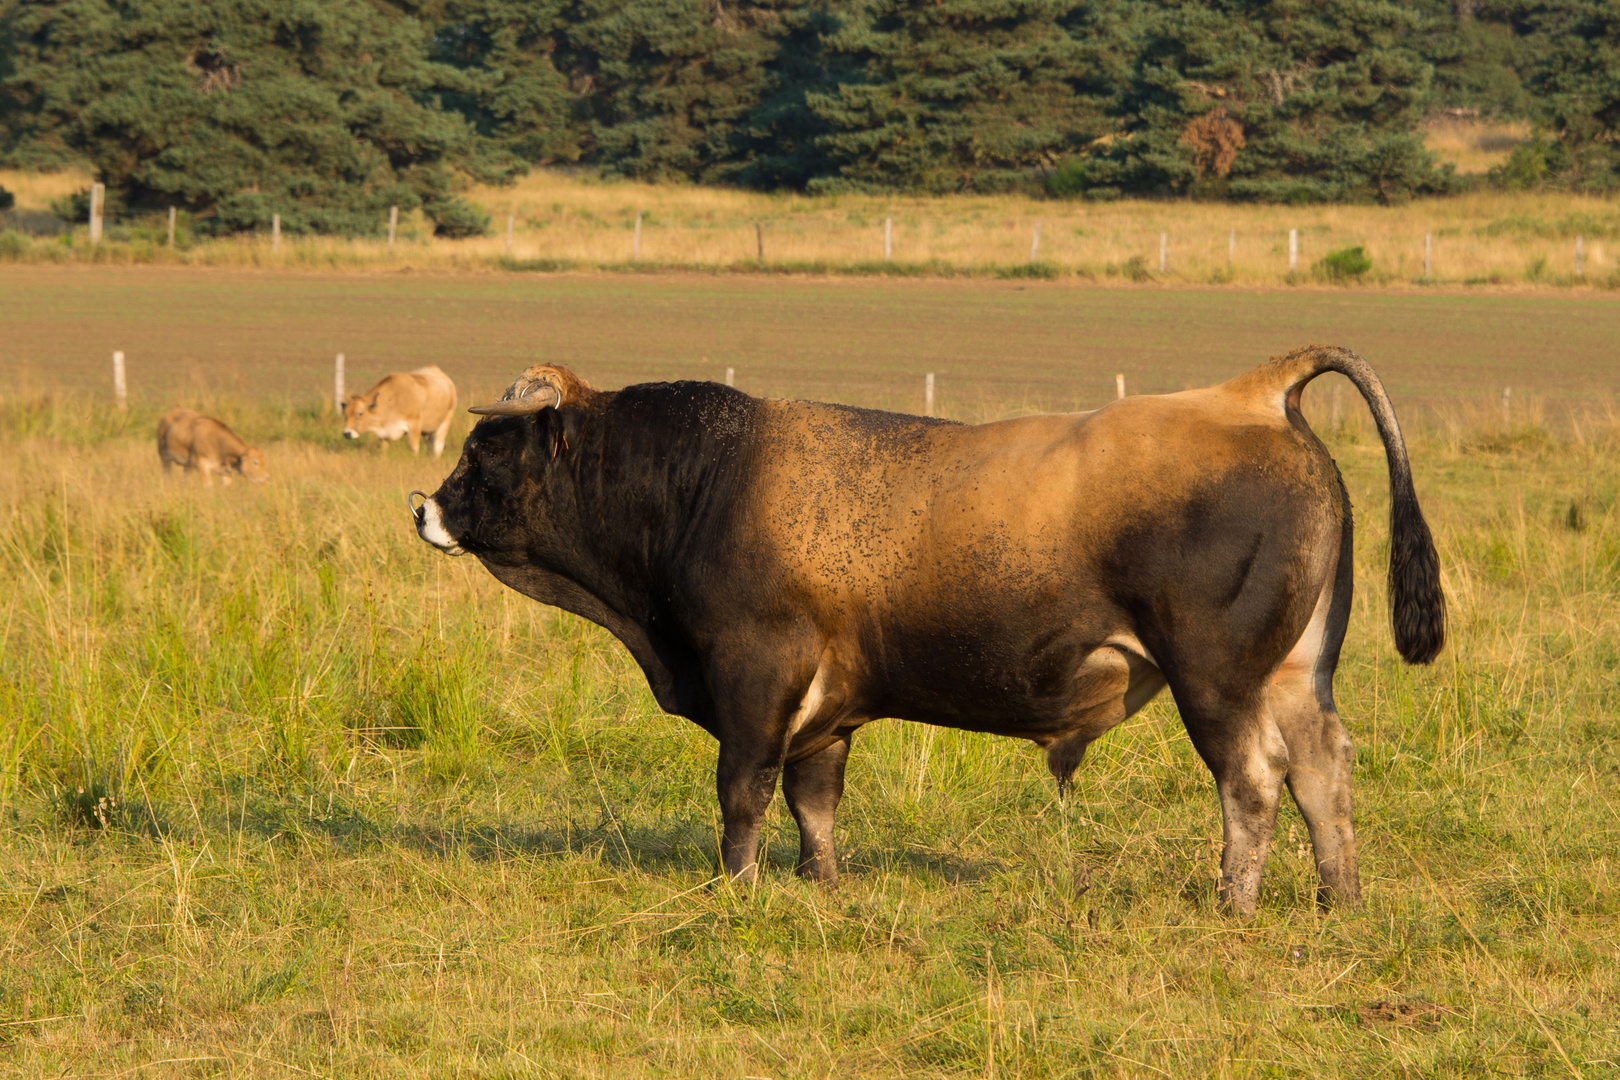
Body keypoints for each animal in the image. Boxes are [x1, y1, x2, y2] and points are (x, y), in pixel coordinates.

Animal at [408, 348, 1445, 919]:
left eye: (485, 448)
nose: (423, 506)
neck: (705, 484)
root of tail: (1247, 393)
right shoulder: (826, 711)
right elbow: (815, 806)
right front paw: (821, 888)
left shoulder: (755, 676)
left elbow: (742, 794)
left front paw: (734, 890)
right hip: (1297, 675)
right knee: (1322, 773)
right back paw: (1338, 898)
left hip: (1218, 681)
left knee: (1253, 782)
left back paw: (1234, 905)